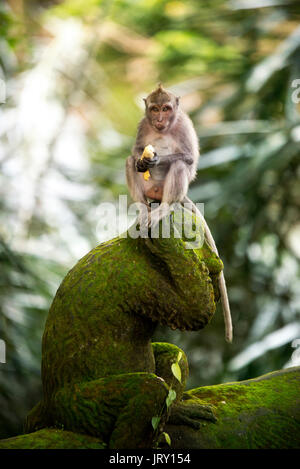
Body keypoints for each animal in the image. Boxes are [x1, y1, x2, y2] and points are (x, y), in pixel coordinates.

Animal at [125, 84, 233, 340]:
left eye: (166, 108)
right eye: (154, 109)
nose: (159, 119)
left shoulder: (183, 125)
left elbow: (188, 158)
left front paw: (156, 160)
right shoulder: (143, 125)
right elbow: (136, 152)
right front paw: (142, 161)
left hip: (169, 191)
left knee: (179, 165)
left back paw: (164, 208)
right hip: (149, 191)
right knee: (129, 161)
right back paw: (143, 208)